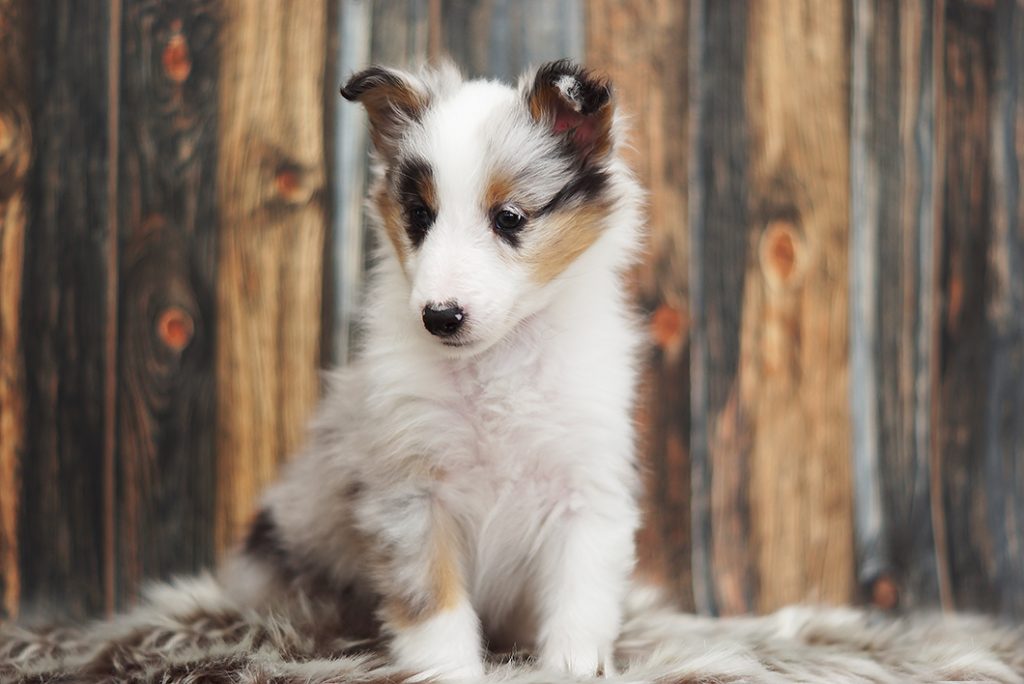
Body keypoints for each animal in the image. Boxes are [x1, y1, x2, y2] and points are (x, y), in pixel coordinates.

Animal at [220, 60, 643, 679]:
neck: (493, 362)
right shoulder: (411, 493)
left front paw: (573, 666)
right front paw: (448, 670)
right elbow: (434, 602)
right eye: (420, 216)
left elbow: (579, 596)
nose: (440, 317)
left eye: (509, 218)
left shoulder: (584, 487)